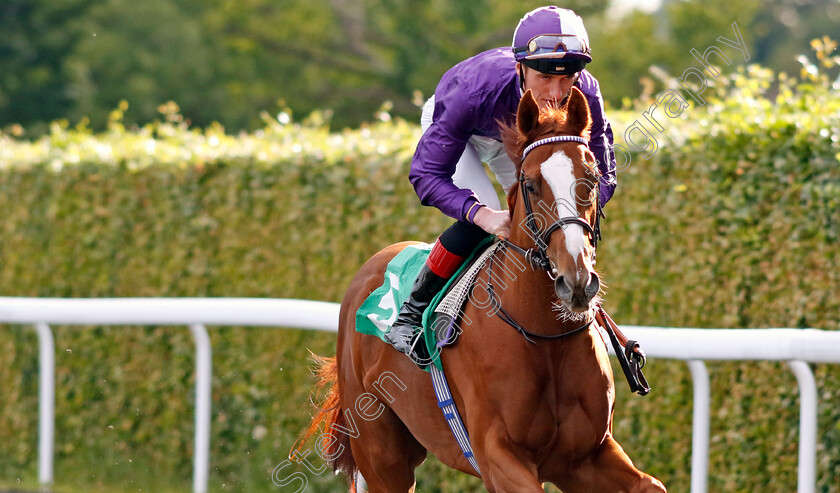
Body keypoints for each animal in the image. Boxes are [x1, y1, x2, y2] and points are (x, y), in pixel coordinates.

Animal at [298, 89, 668, 492]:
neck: (544, 335)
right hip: (380, 452)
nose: (577, 282)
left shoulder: (586, 456)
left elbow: (652, 485)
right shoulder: (497, 456)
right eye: (531, 183)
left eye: (593, 177)